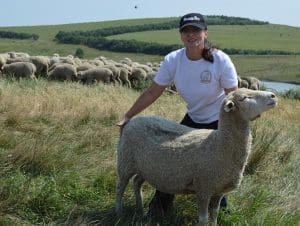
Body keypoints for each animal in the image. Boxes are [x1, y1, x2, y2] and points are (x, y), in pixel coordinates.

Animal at [115, 88, 278, 226]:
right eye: (244, 98)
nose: (273, 96)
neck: (219, 144)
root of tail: (132, 121)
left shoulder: (219, 191)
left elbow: (214, 214)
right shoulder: (203, 188)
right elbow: (203, 219)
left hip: (145, 168)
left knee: (136, 182)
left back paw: (141, 210)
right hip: (125, 162)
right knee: (121, 187)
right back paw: (119, 212)